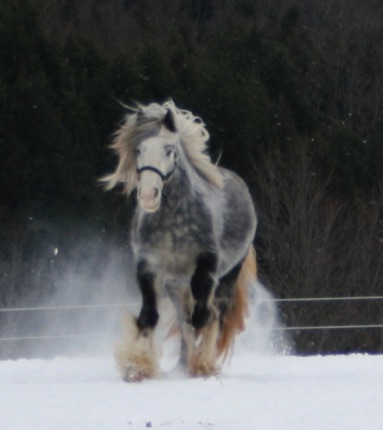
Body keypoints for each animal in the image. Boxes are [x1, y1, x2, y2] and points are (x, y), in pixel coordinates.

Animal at [102, 102, 258, 382]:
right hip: (176, 284)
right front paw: (137, 364)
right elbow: (150, 316)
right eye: (139, 149)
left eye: (169, 150)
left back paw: (201, 362)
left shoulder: (206, 265)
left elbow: (203, 316)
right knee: (185, 318)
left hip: (228, 275)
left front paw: (201, 362)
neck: (174, 221)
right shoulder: (149, 268)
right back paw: (185, 364)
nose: (148, 195)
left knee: (215, 313)